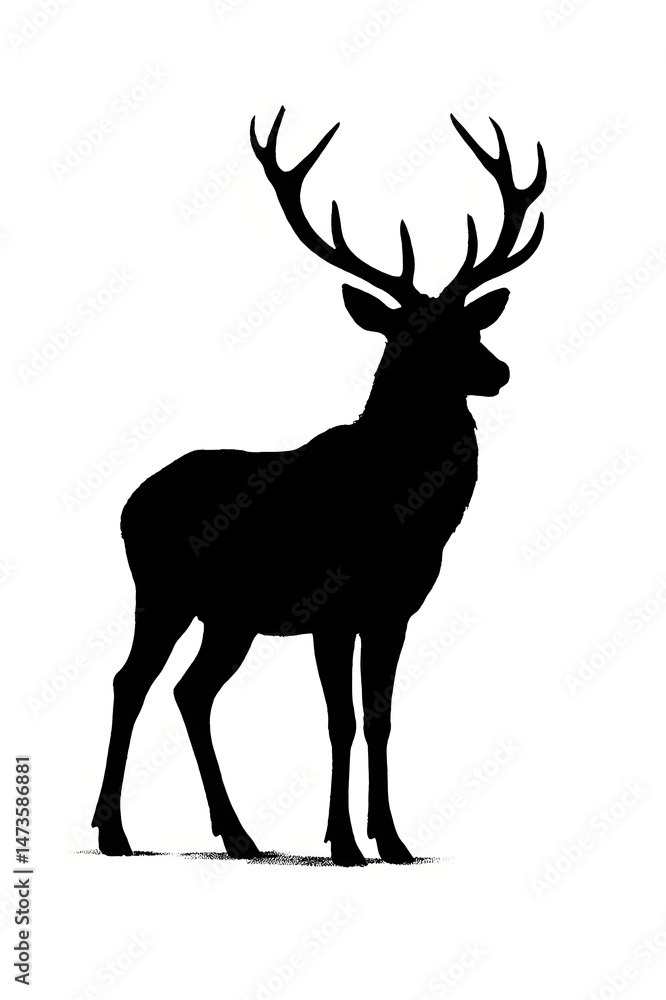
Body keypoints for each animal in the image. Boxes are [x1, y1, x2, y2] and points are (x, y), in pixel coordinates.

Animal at [92, 107, 546, 865]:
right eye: (412, 333)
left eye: (468, 325)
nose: (500, 370)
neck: (400, 512)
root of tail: (129, 502)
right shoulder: (331, 607)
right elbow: (340, 721)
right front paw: (344, 844)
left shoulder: (394, 610)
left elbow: (380, 717)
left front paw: (393, 840)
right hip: (161, 591)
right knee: (133, 681)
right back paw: (115, 832)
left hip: (229, 617)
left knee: (191, 691)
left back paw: (239, 834)